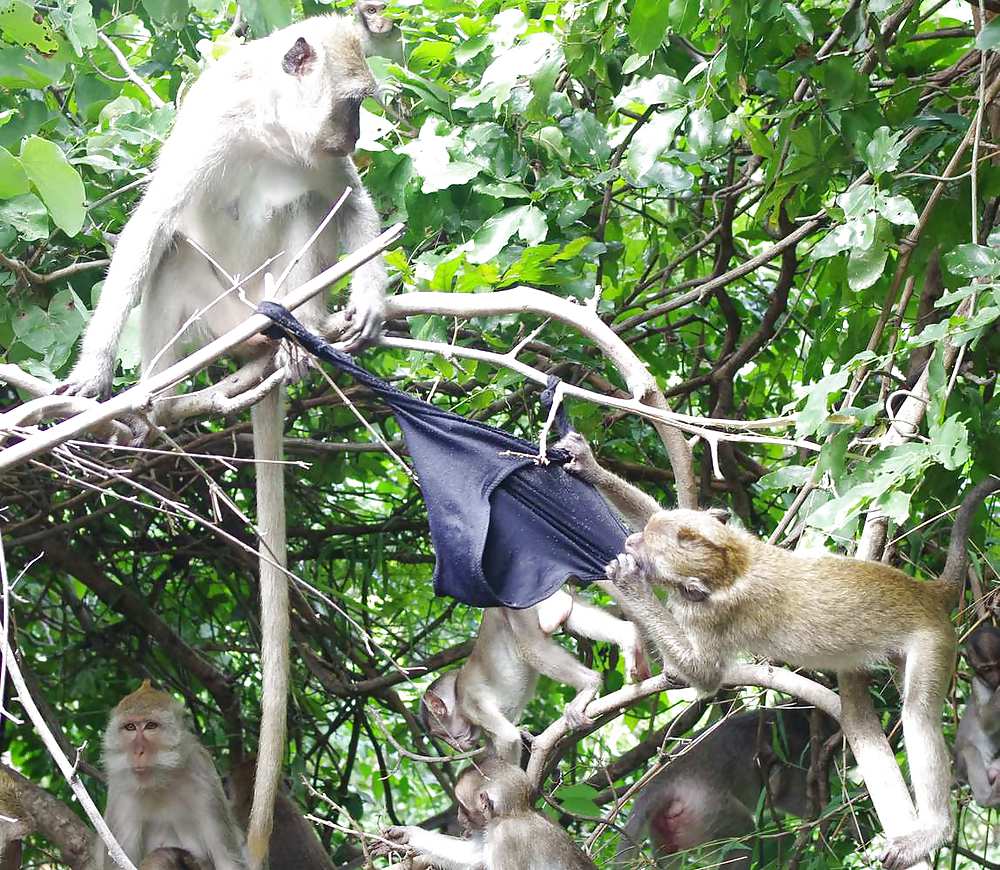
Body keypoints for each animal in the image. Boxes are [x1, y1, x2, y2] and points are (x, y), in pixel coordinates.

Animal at [94, 681, 248, 870]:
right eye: (130, 727)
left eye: (151, 726)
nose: (138, 751)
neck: (159, 784)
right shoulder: (120, 789)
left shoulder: (202, 772)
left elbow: (226, 859)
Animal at [374, 755, 597, 869]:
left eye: (462, 806)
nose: (458, 816)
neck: (513, 813)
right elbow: (474, 857)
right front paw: (405, 834)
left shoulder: (505, 837)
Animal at [419, 587, 650, 765]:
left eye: (441, 735)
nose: (454, 746)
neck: (457, 692)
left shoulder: (472, 703)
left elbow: (508, 739)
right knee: (572, 614)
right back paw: (630, 637)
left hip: (521, 612)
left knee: (532, 649)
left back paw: (589, 684)